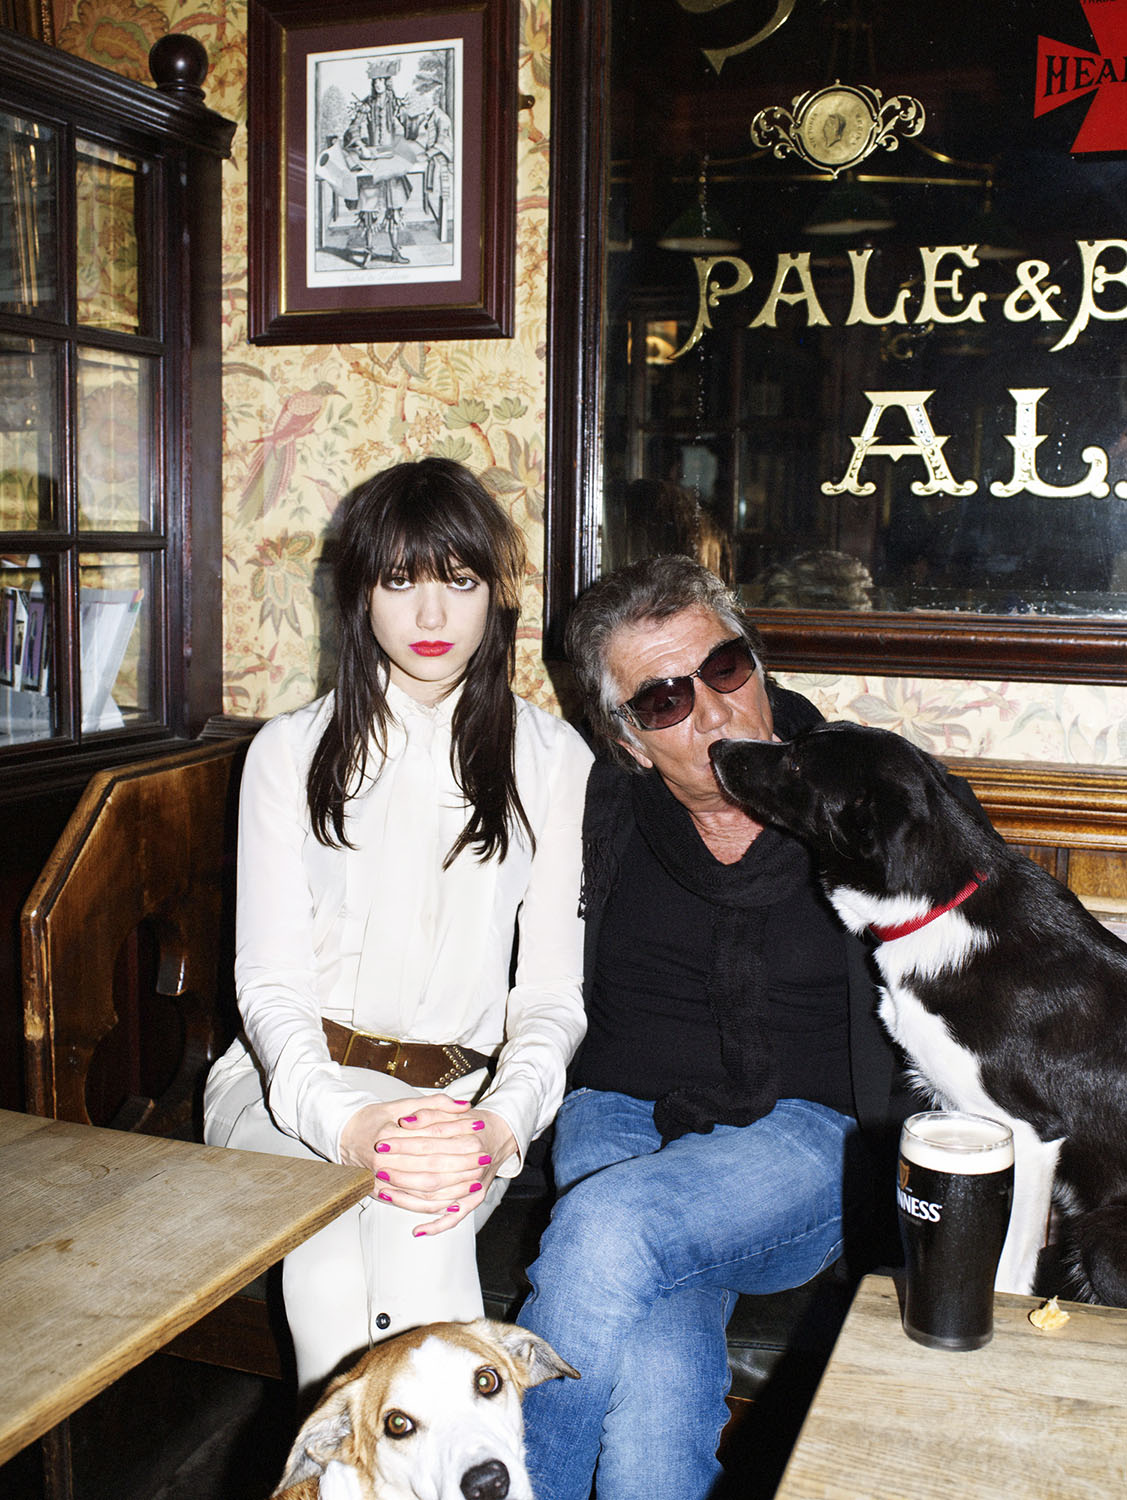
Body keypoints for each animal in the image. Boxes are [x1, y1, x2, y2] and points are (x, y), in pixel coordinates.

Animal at [709, 721, 1127, 1307]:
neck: (934, 907)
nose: (715, 747)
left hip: (1103, 1238)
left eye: (796, 762)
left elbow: (1008, 1267)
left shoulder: (1031, 1134)